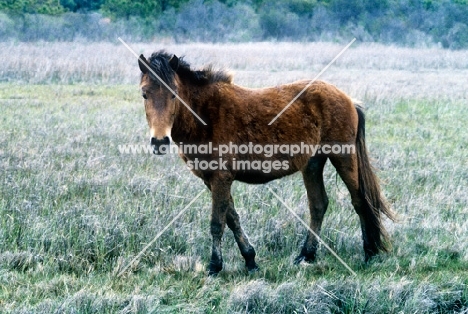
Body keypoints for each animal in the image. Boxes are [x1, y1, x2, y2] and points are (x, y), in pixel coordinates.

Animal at [138, 51, 394, 274]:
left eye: (174, 94)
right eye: (144, 94)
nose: (159, 141)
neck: (206, 116)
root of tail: (348, 99)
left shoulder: (221, 178)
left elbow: (217, 222)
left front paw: (214, 266)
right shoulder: (211, 180)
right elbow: (232, 218)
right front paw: (250, 260)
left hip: (343, 157)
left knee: (359, 200)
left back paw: (369, 252)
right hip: (313, 163)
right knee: (318, 205)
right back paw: (306, 255)